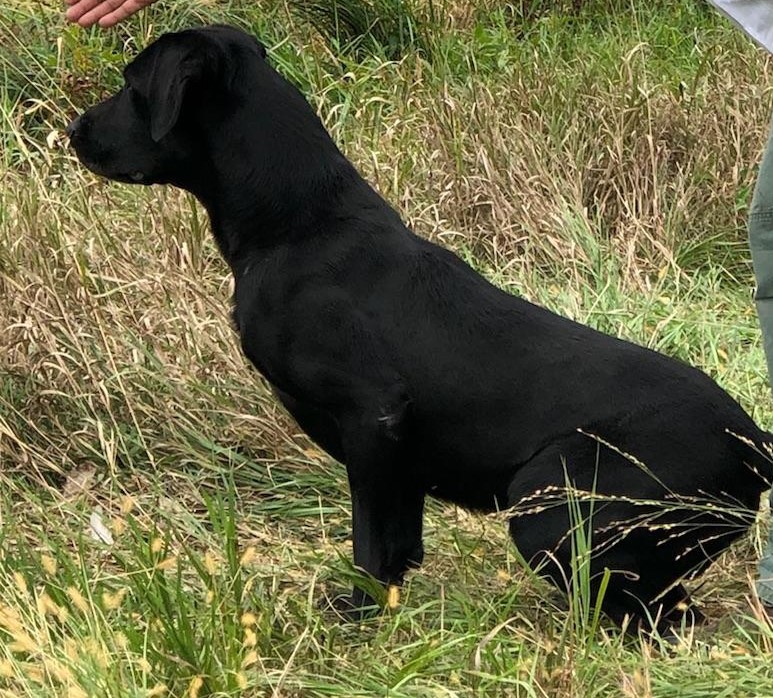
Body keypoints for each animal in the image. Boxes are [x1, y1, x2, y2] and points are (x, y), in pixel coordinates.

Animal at [68, 24, 772, 628]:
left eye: (133, 86)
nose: (75, 130)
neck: (300, 224)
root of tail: (754, 446)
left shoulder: (372, 417)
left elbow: (370, 543)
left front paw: (357, 617)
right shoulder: (397, 457)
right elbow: (399, 546)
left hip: (548, 501)